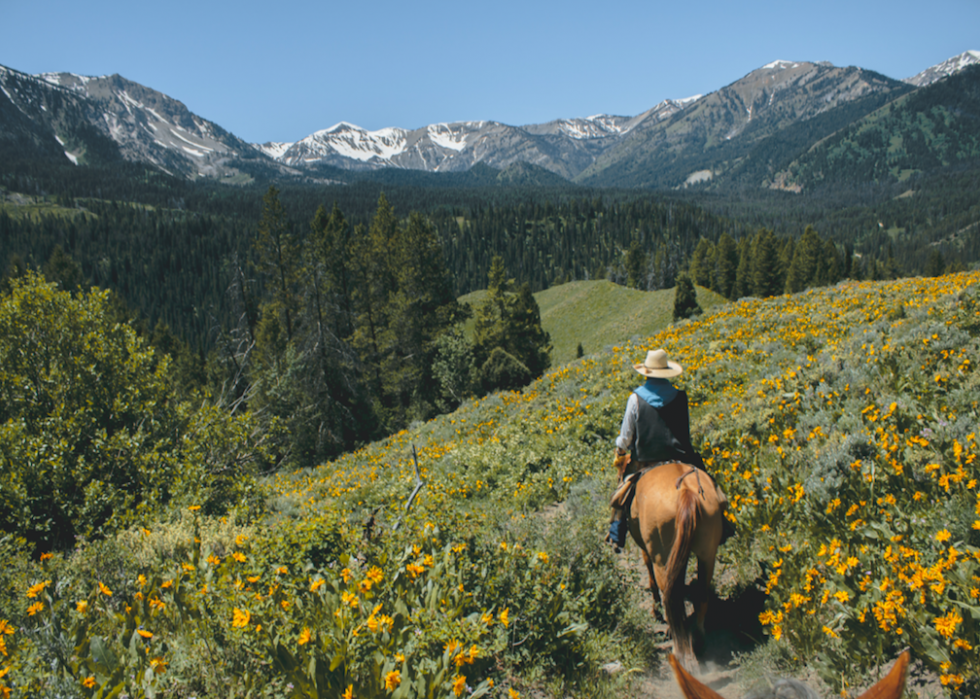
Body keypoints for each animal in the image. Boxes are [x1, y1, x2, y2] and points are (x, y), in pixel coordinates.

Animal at [616, 456, 724, 676]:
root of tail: (686, 492)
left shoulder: (647, 551)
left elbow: (650, 578)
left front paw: (655, 611)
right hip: (707, 553)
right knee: (701, 594)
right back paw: (698, 642)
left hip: (661, 556)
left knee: (670, 596)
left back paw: (679, 647)